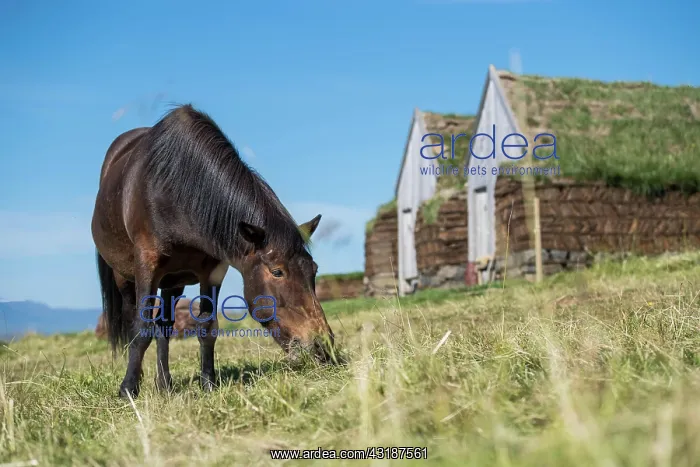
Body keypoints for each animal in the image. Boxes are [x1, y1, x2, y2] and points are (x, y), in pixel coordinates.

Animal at [92, 104, 336, 398]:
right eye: (278, 271)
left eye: (314, 270)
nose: (324, 346)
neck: (175, 188)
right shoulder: (146, 266)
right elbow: (141, 329)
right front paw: (128, 389)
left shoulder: (212, 271)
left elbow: (207, 327)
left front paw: (208, 384)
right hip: (124, 277)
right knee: (134, 323)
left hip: (173, 282)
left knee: (165, 326)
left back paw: (165, 384)